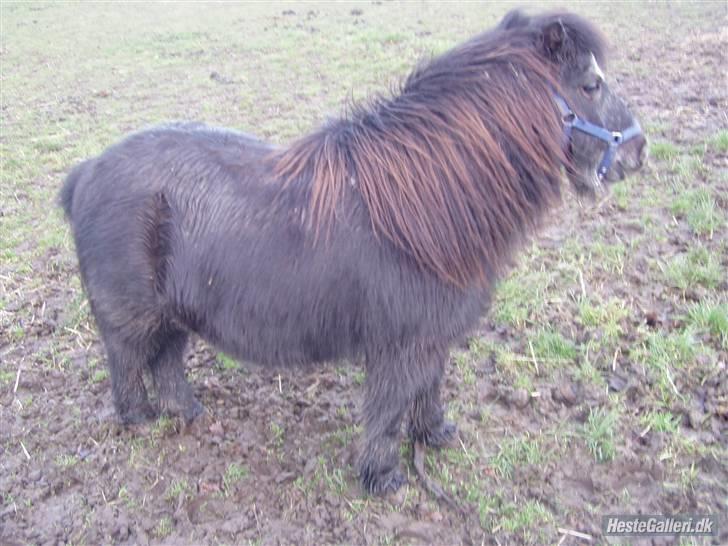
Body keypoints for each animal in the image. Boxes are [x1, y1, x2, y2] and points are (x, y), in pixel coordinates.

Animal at [60, 9, 646, 494]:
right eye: (591, 84)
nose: (639, 151)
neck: (426, 207)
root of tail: (86, 171)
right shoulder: (400, 346)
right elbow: (387, 410)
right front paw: (382, 478)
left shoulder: (433, 337)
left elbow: (429, 389)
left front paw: (436, 435)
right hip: (130, 318)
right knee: (127, 364)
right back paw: (141, 420)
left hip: (175, 312)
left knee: (166, 361)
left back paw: (189, 412)